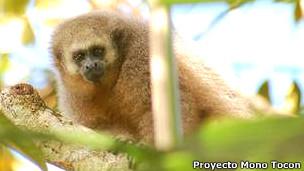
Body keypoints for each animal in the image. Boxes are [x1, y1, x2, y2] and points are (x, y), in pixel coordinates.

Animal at [51, 10, 253, 144]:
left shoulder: (142, 57)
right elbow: (96, 127)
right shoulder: (73, 95)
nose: (90, 65)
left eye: (97, 51)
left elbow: (173, 106)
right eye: (79, 57)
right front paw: (123, 138)